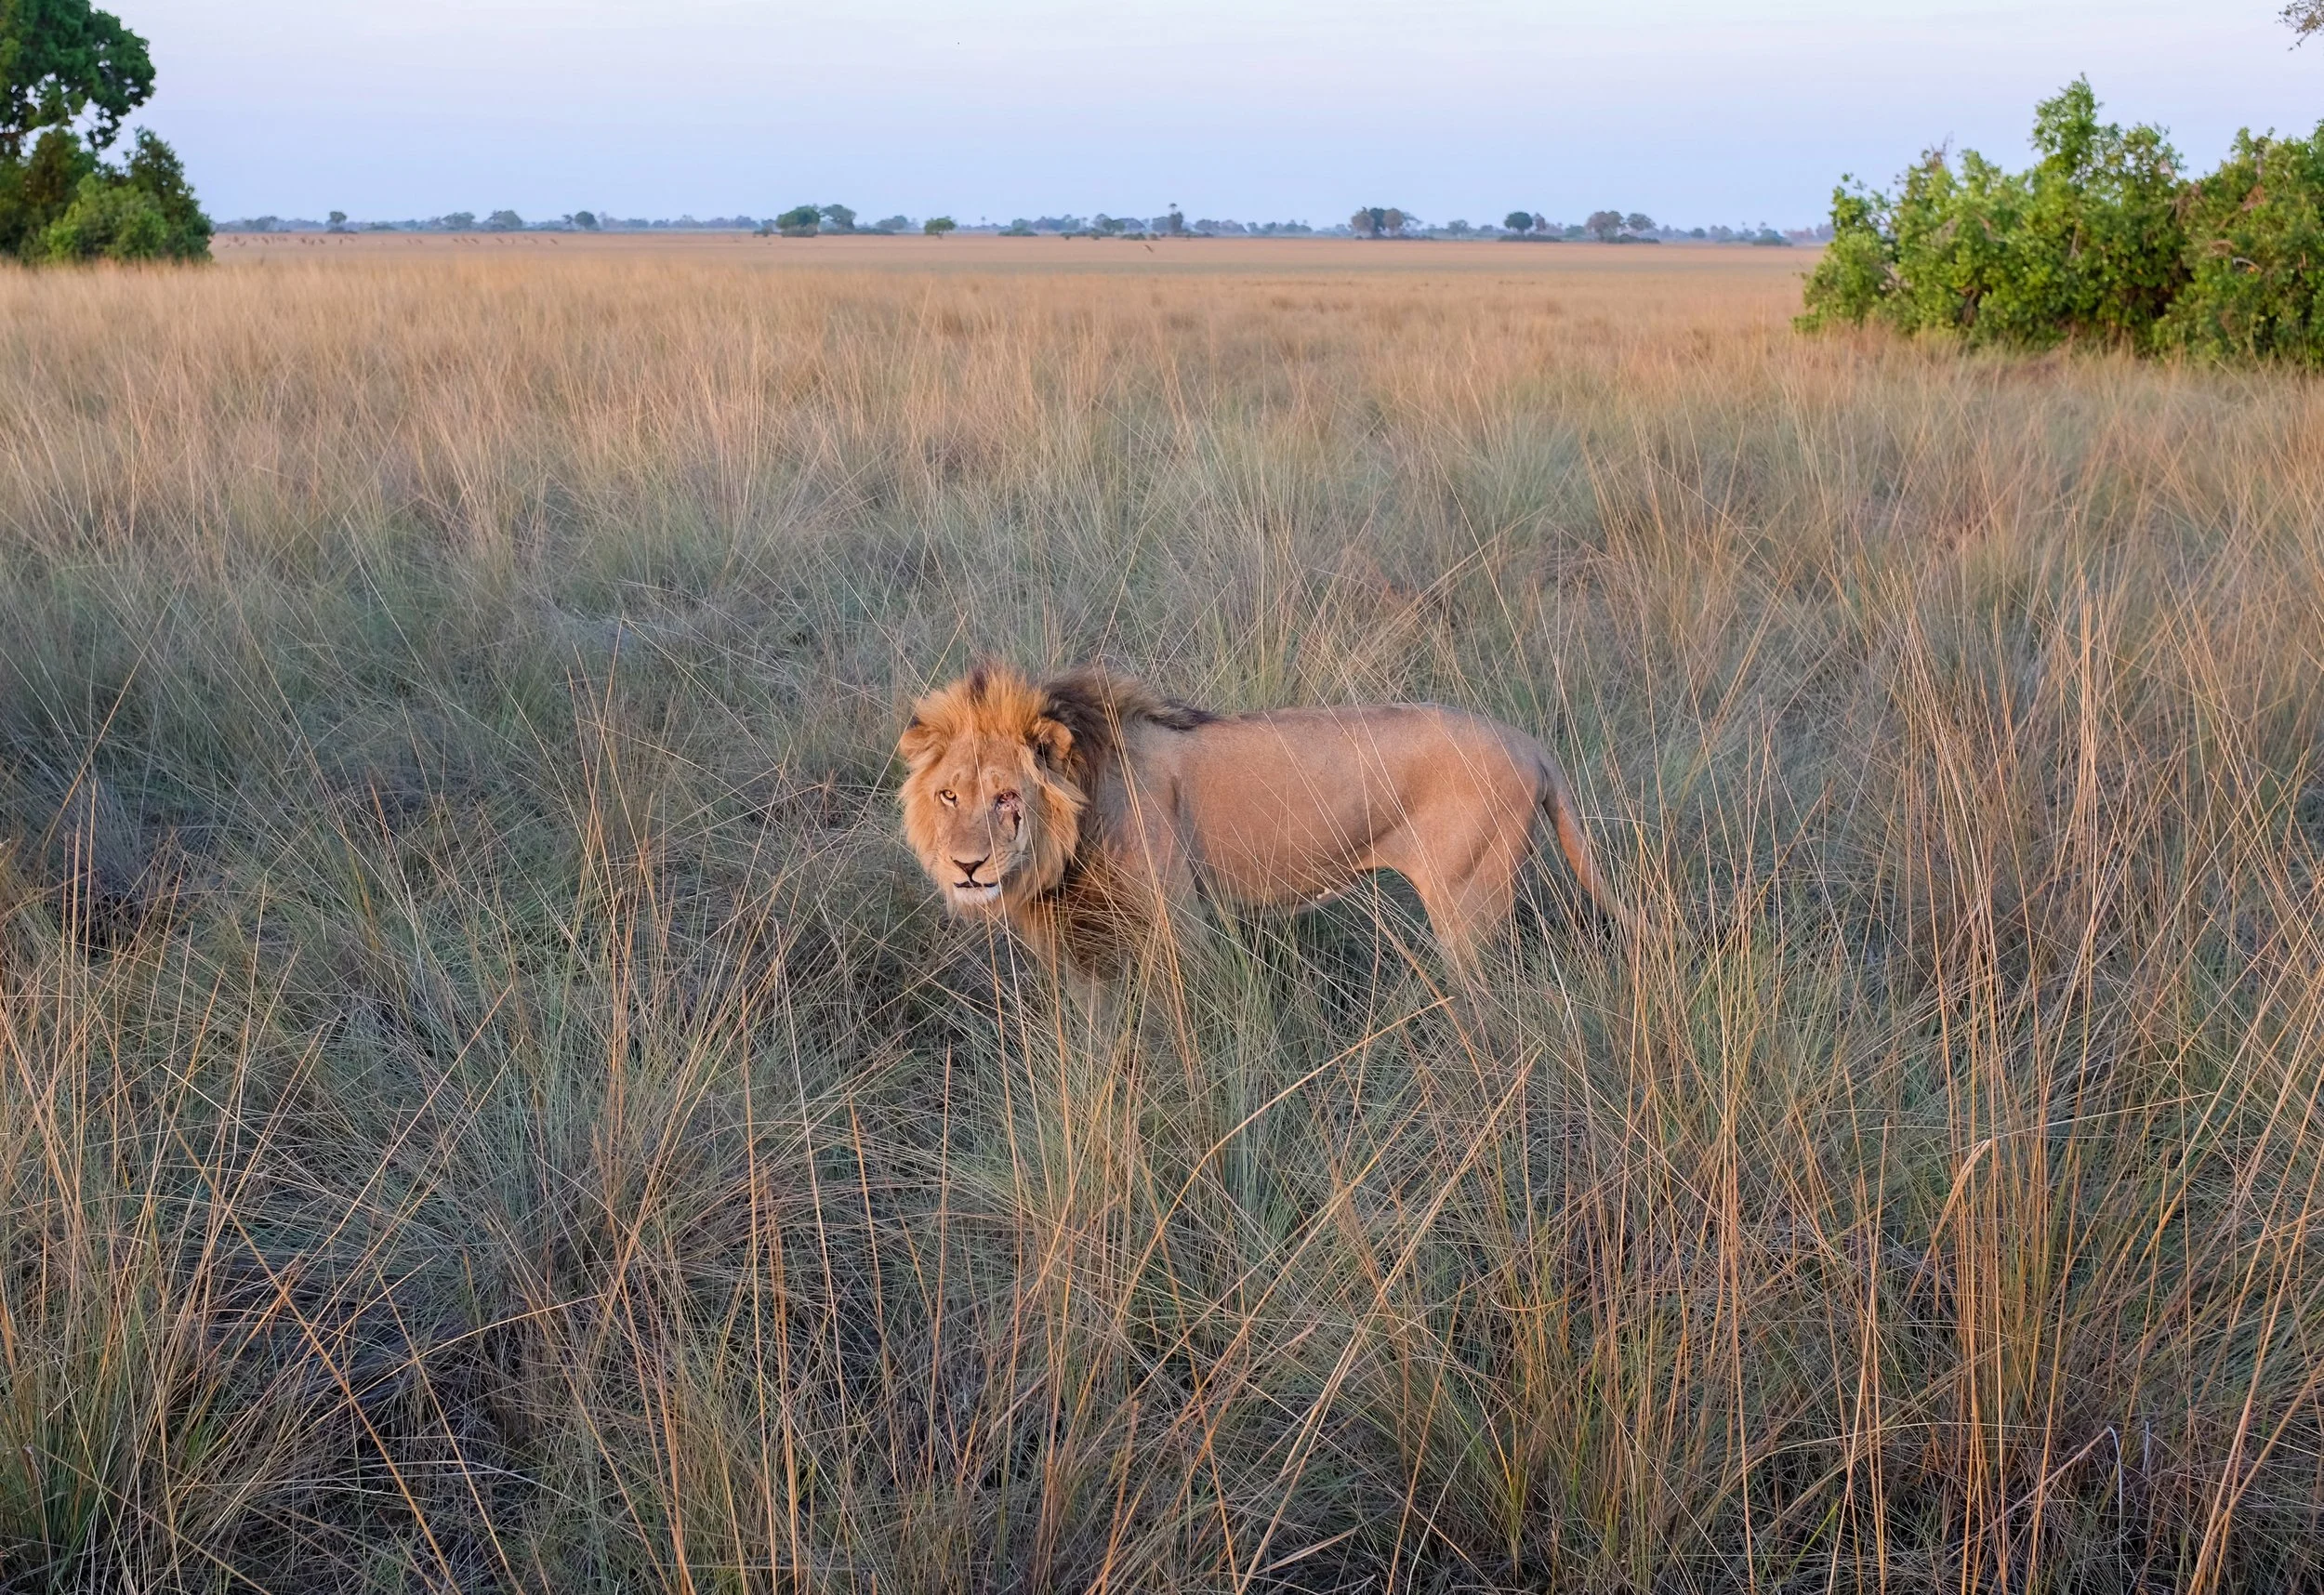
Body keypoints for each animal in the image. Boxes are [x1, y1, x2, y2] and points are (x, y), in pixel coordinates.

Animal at [897, 662, 1644, 986]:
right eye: (948, 797)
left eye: (1007, 798)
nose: (968, 868)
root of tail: (1529, 742)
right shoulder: (1076, 952)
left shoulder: (1180, 925)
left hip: (1468, 906)